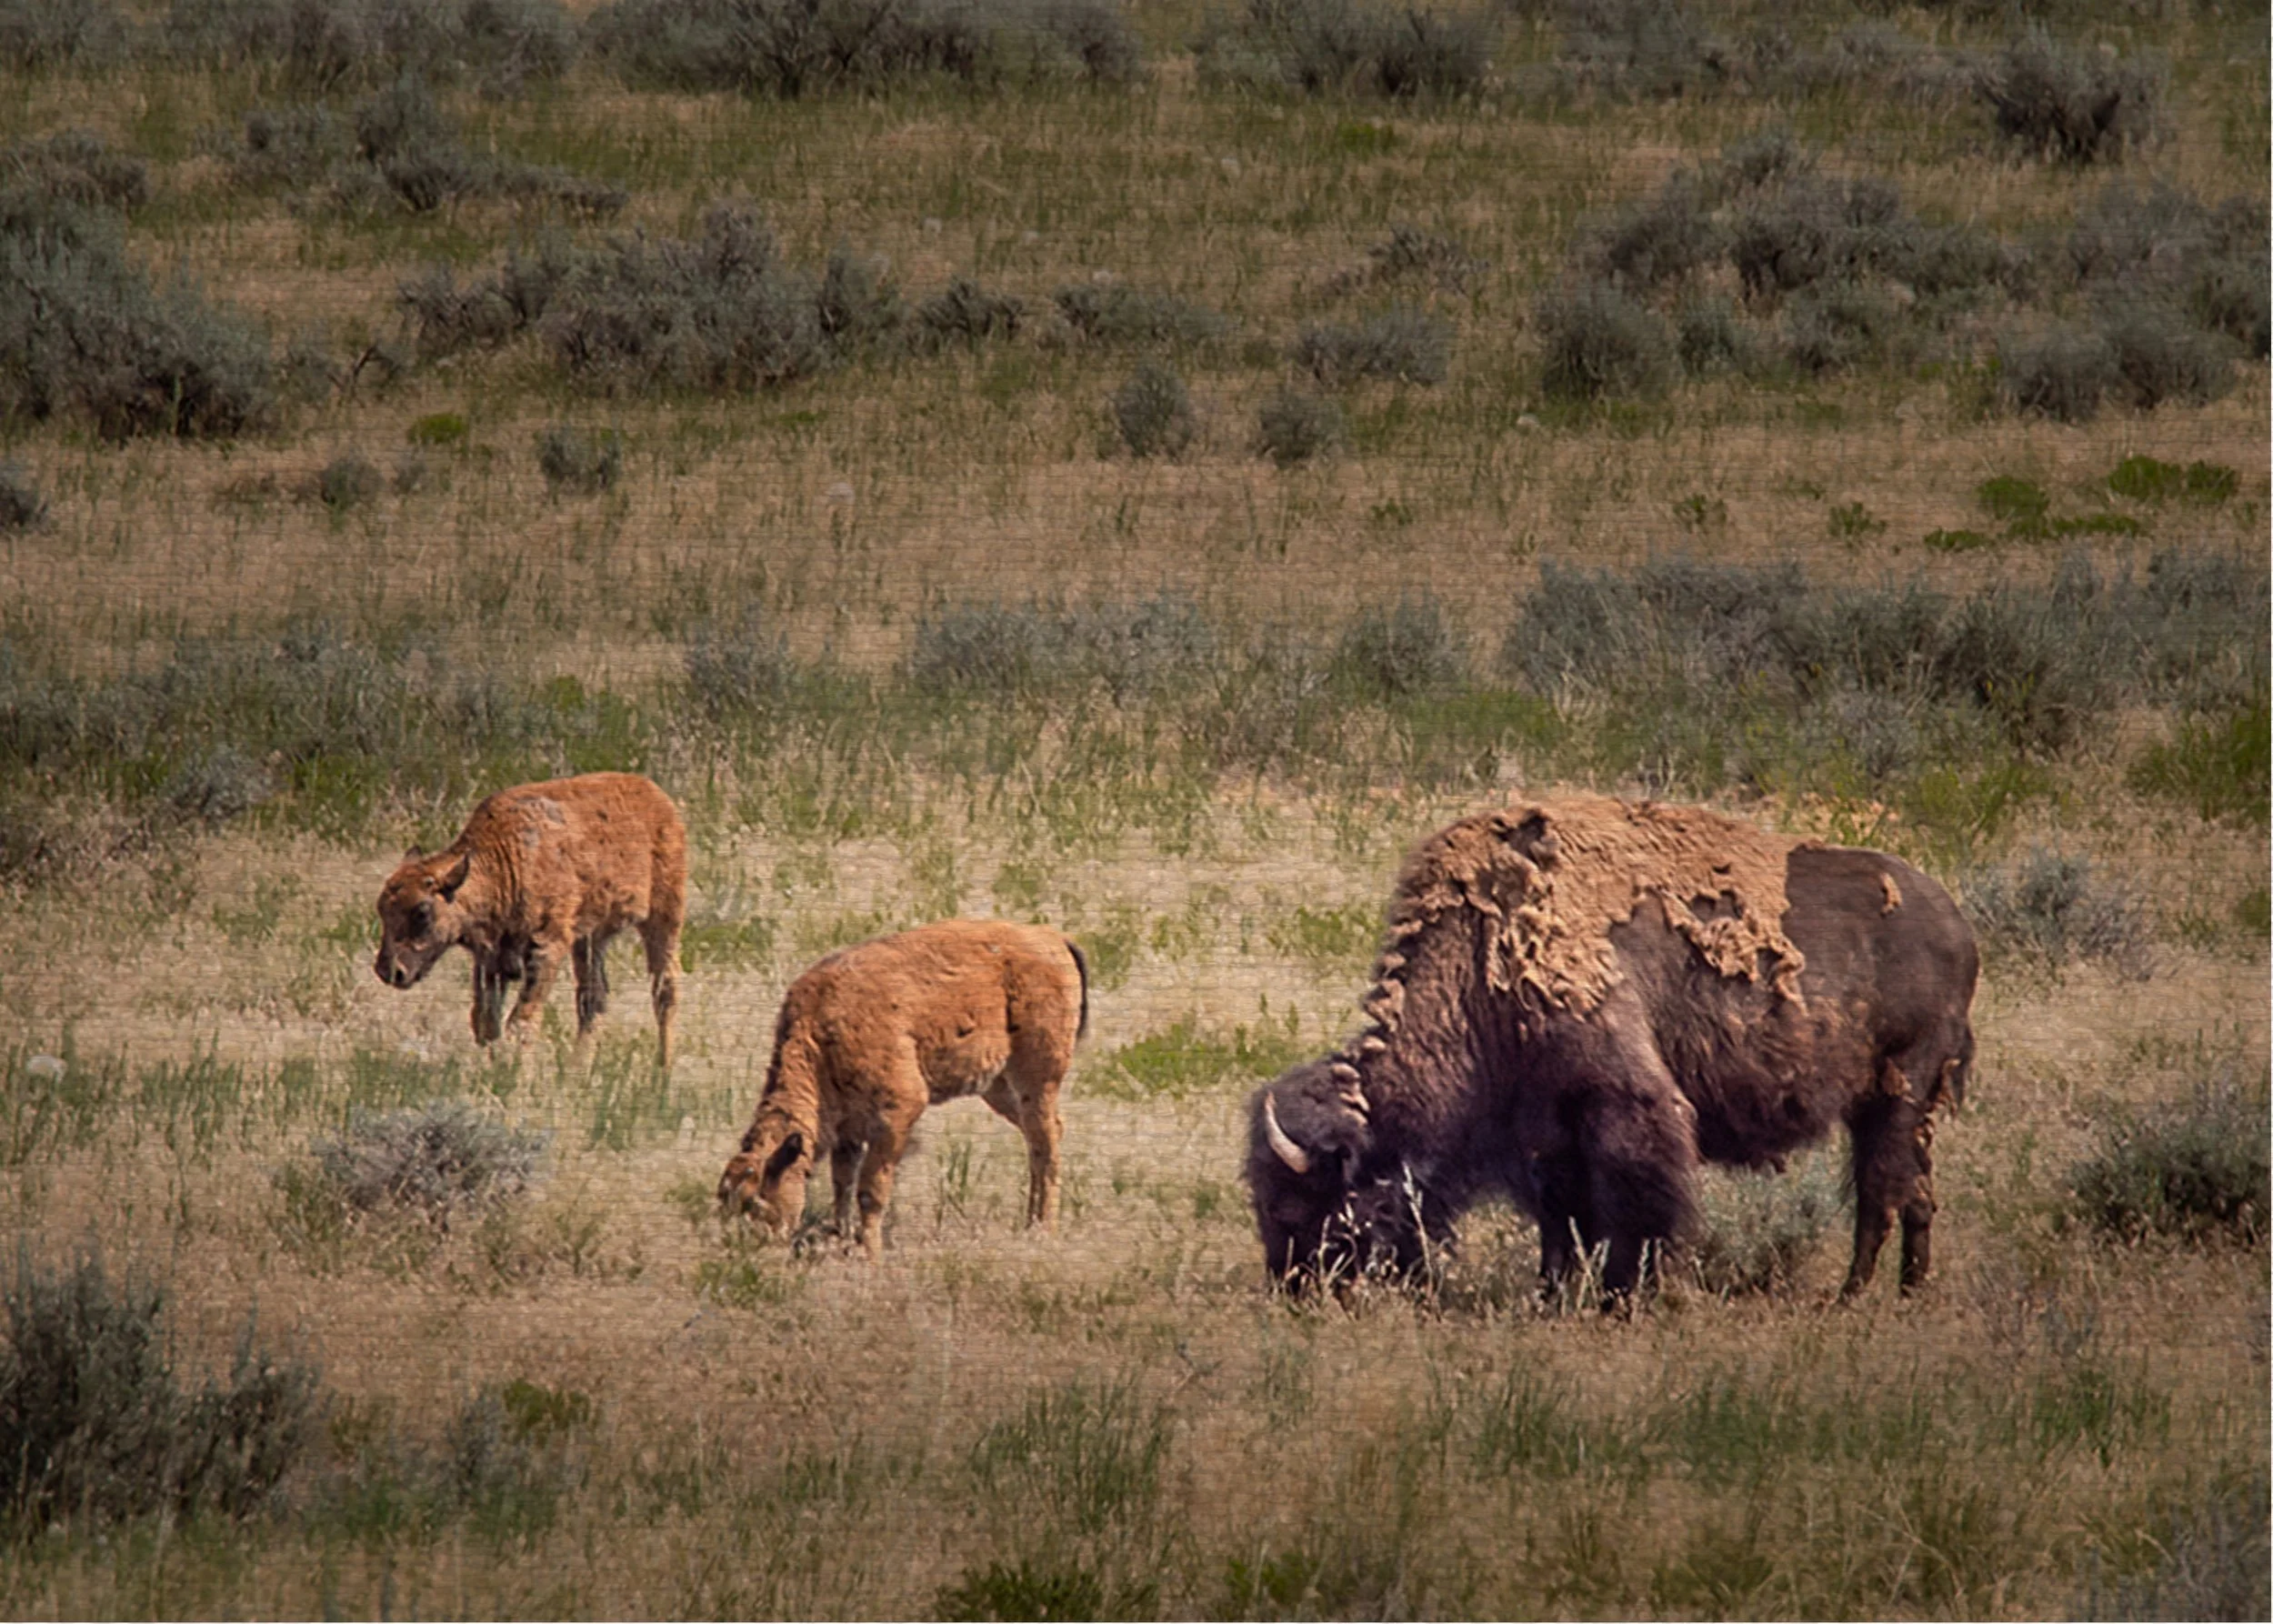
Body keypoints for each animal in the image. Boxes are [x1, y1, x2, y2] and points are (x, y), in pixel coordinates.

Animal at [374, 772, 687, 1067]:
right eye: (381, 909)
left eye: (422, 911)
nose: (389, 971)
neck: (501, 863)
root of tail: (656, 796)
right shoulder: (491, 961)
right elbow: (486, 1022)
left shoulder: (548, 947)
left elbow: (521, 1021)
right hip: (591, 937)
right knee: (593, 999)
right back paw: (577, 1070)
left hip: (664, 916)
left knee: (665, 991)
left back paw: (662, 1072)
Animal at [718, 920, 1089, 1257]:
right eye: (724, 1201)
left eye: (755, 1202)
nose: (741, 1248)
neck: (819, 1034)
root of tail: (1053, 938)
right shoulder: (848, 1129)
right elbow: (843, 1182)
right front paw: (841, 1238)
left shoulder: (897, 1113)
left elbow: (870, 1190)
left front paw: (870, 1255)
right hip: (998, 1086)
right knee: (1042, 1135)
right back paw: (1030, 1223)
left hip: (1037, 1077)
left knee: (1045, 1143)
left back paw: (1042, 1230)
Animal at [1247, 796, 1978, 1305]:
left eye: (1305, 1207)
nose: (1296, 1292)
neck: (1478, 964)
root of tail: (1955, 922)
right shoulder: (1545, 1136)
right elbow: (1562, 1222)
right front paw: (1551, 1297)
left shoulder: (1626, 1108)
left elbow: (1637, 1207)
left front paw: (1625, 1297)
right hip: (1889, 1106)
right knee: (1915, 1193)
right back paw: (1906, 1293)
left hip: (1900, 1091)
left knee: (1881, 1194)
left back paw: (1851, 1297)